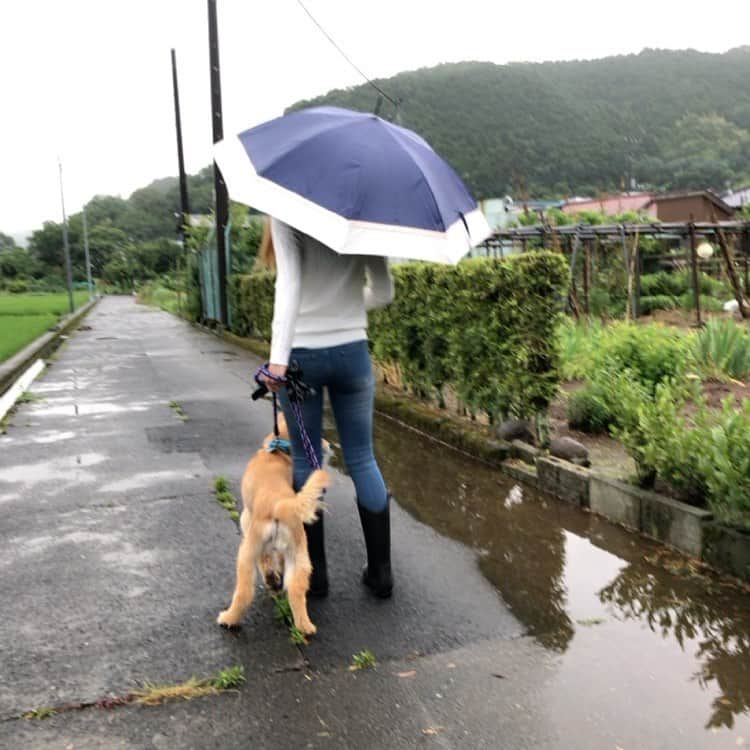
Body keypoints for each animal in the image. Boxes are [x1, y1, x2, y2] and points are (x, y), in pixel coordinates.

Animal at [214, 418, 326, 636]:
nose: (327, 445)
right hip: (299, 557)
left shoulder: (249, 525)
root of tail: (280, 503)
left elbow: (266, 562)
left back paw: (228, 618)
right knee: (296, 591)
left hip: (248, 551)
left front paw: (271, 578)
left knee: (244, 592)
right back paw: (305, 627)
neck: (278, 451)